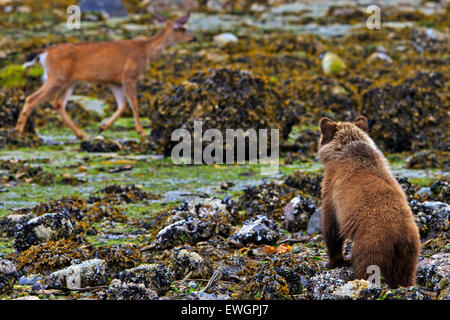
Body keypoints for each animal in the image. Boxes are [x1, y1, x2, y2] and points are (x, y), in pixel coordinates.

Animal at [16, 11, 196, 139]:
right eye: (182, 28)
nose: (193, 38)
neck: (147, 51)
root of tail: (45, 52)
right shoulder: (129, 75)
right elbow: (134, 103)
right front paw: (141, 131)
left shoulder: (114, 81)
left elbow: (122, 105)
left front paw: (102, 127)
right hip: (57, 77)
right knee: (32, 99)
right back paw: (18, 132)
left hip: (69, 81)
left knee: (58, 103)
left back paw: (81, 134)